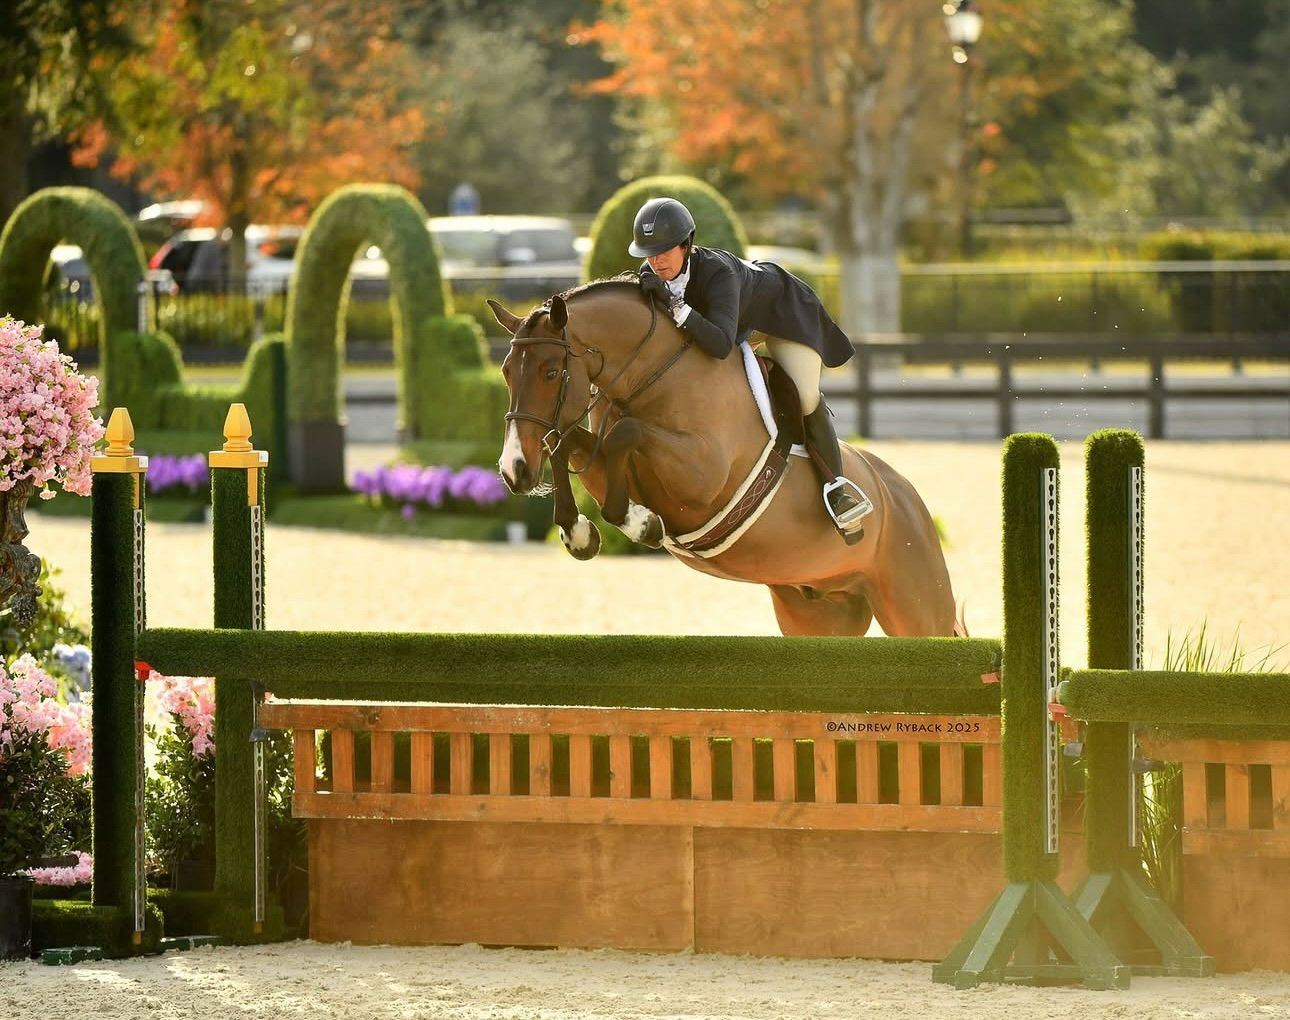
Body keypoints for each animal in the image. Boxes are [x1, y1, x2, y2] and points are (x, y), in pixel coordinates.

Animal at [491, 280, 962, 637]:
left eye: (551, 372)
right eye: (506, 372)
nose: (514, 471)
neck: (656, 376)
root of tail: (905, 495)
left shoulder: (702, 478)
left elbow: (625, 435)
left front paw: (641, 525)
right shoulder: (606, 464)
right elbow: (566, 443)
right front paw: (580, 534)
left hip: (916, 608)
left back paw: (845, 502)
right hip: (820, 612)